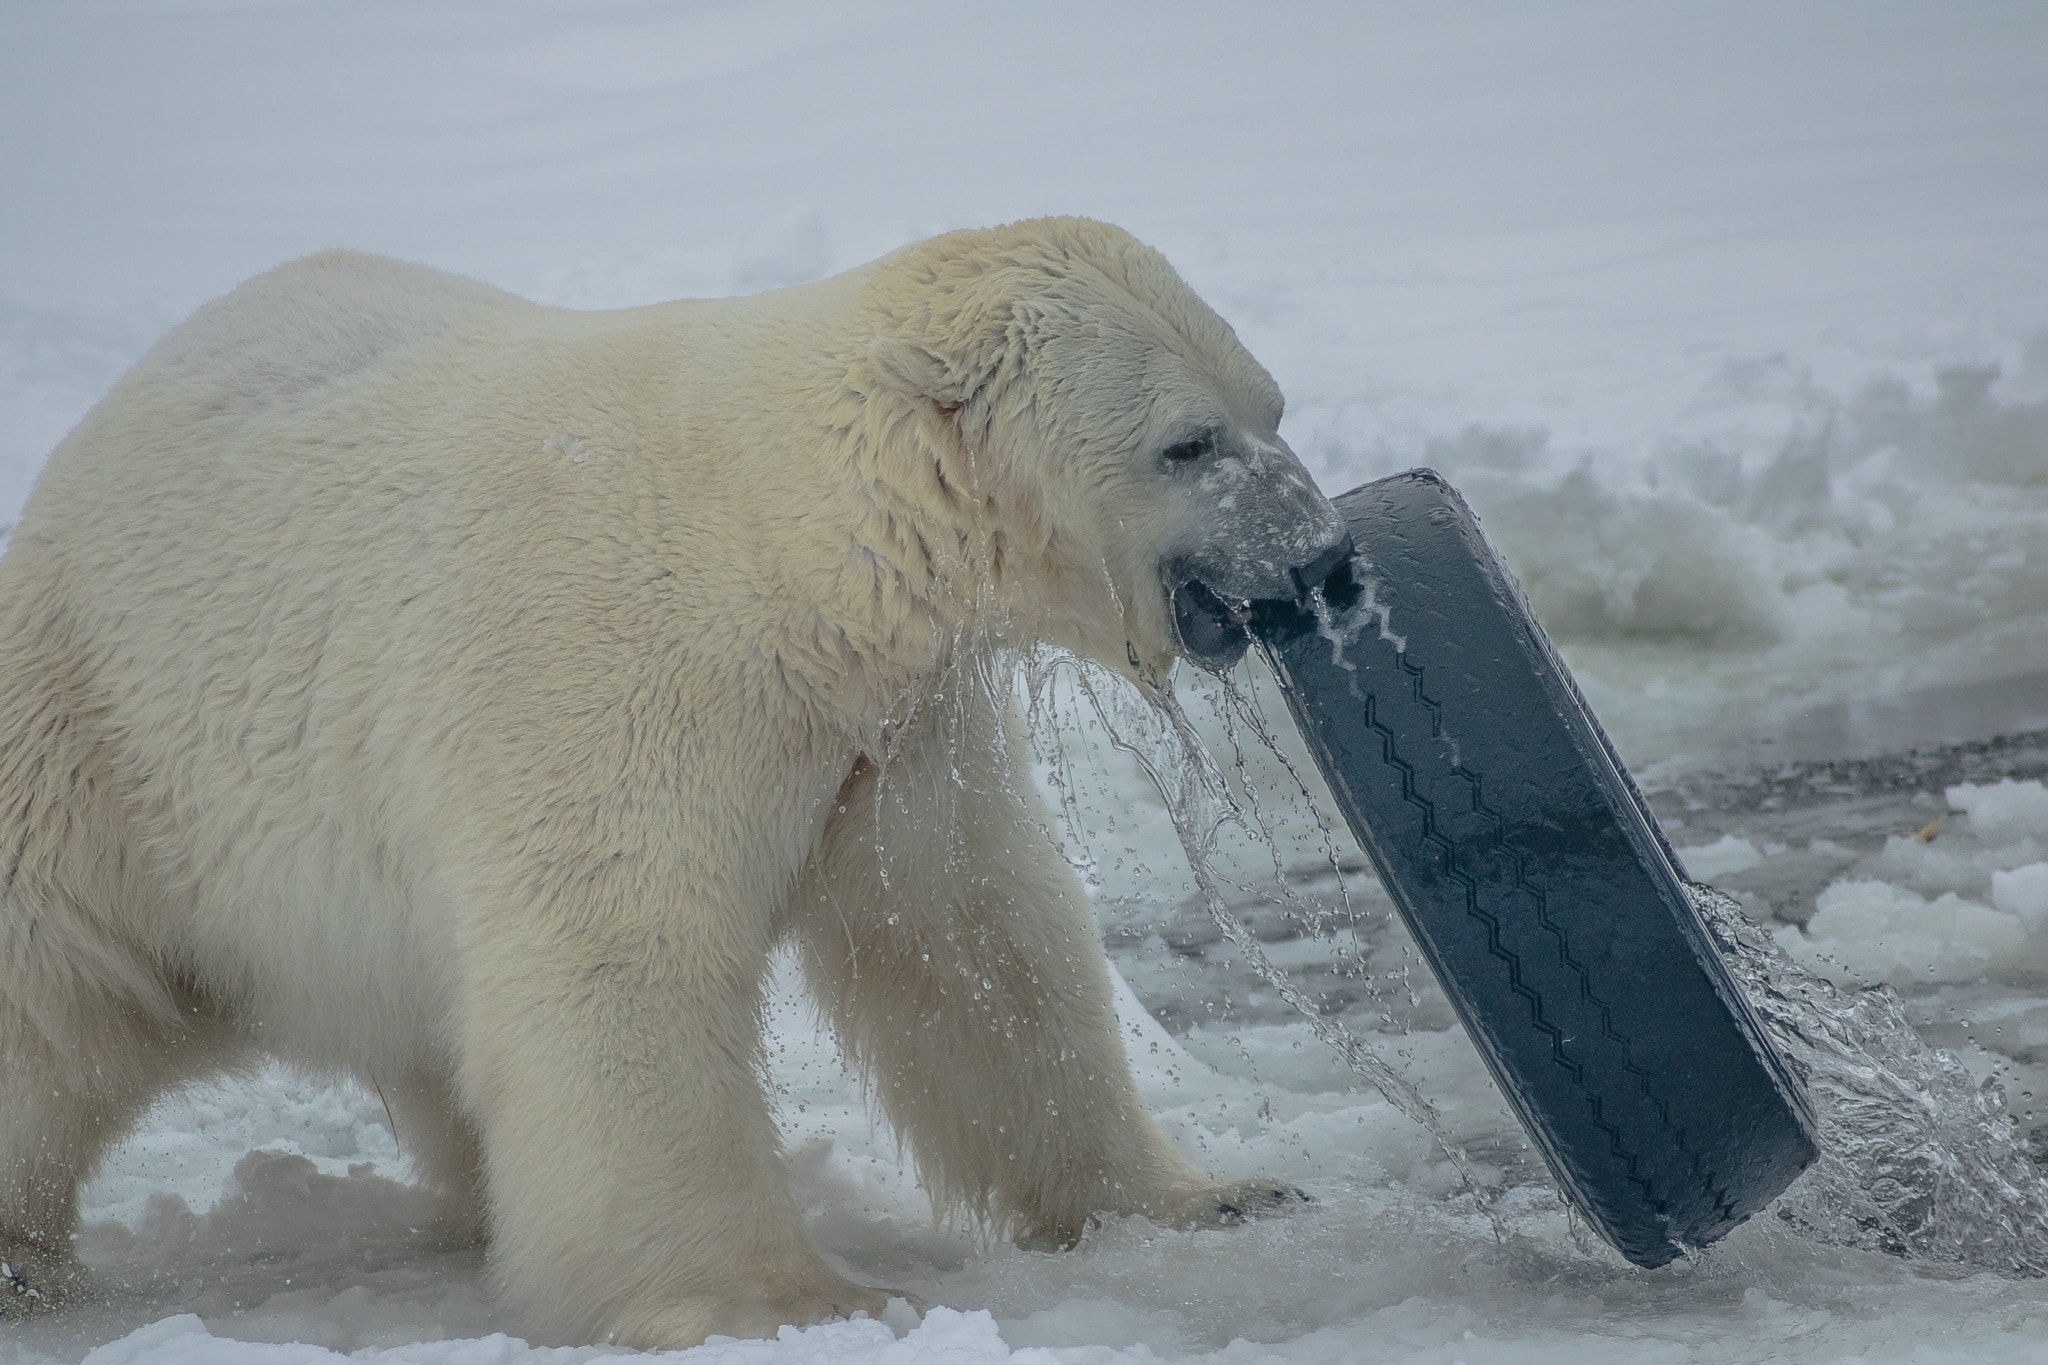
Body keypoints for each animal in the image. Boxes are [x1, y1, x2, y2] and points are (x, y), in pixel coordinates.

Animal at [0, 218, 1350, 1347]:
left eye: (1275, 406)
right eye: (1186, 441)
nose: (1325, 556)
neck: (782, 545)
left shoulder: (892, 727)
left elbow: (975, 940)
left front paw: (1215, 1195)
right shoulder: (619, 679)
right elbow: (623, 965)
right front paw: (788, 1302)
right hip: (111, 747)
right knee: (50, 994)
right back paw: (26, 1262)